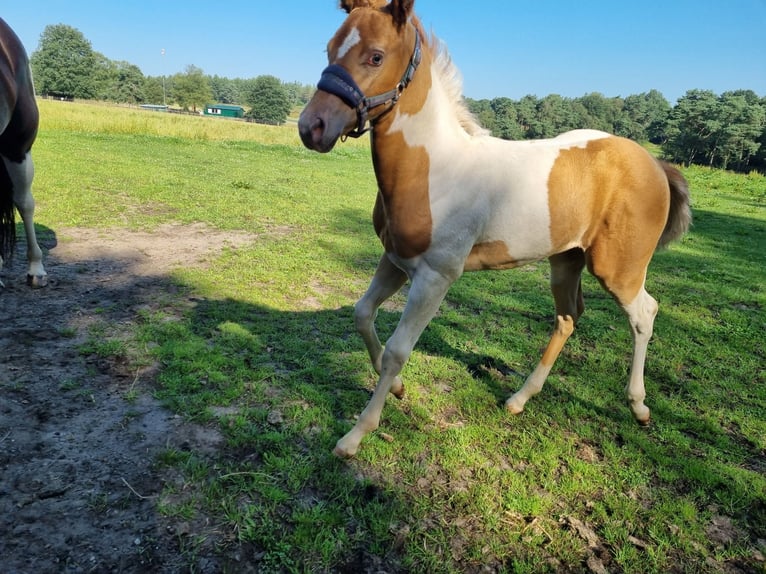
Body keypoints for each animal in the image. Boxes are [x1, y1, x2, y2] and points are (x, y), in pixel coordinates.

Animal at [298, 0, 688, 460]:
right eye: (330, 48)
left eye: (375, 56)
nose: (311, 127)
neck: (435, 169)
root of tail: (655, 164)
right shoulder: (394, 260)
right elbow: (362, 314)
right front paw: (396, 388)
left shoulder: (435, 276)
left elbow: (397, 350)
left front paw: (355, 435)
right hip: (565, 260)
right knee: (568, 316)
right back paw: (520, 398)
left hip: (619, 268)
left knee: (644, 313)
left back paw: (639, 406)